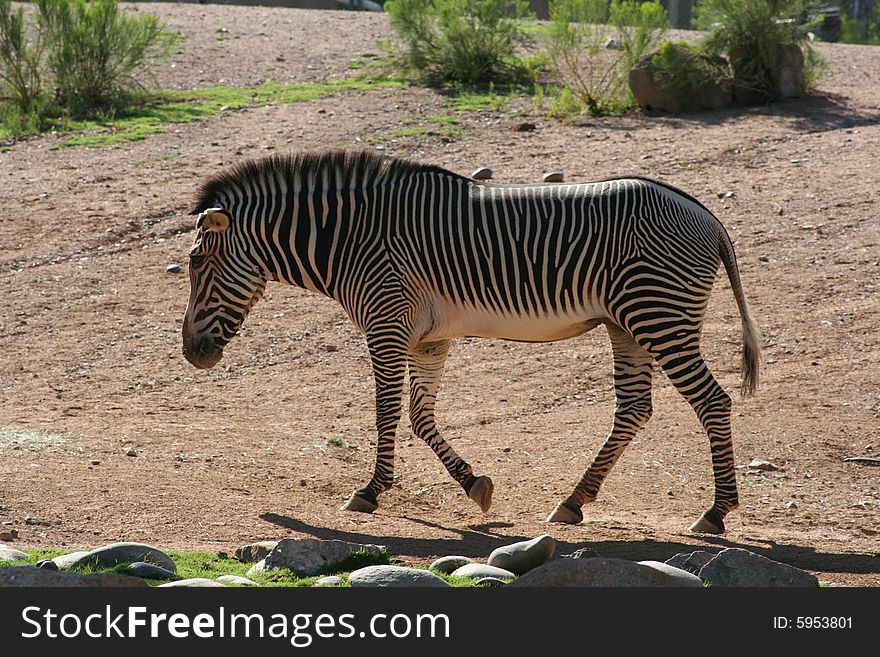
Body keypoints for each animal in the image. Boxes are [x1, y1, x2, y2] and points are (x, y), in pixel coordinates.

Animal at [182, 149, 760, 532]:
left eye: (196, 262)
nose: (191, 354)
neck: (352, 238)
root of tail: (707, 217)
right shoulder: (427, 339)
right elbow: (419, 416)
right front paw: (474, 485)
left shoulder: (386, 324)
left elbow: (386, 411)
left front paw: (369, 492)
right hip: (629, 324)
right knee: (635, 409)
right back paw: (573, 501)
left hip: (659, 316)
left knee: (712, 401)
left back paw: (715, 512)